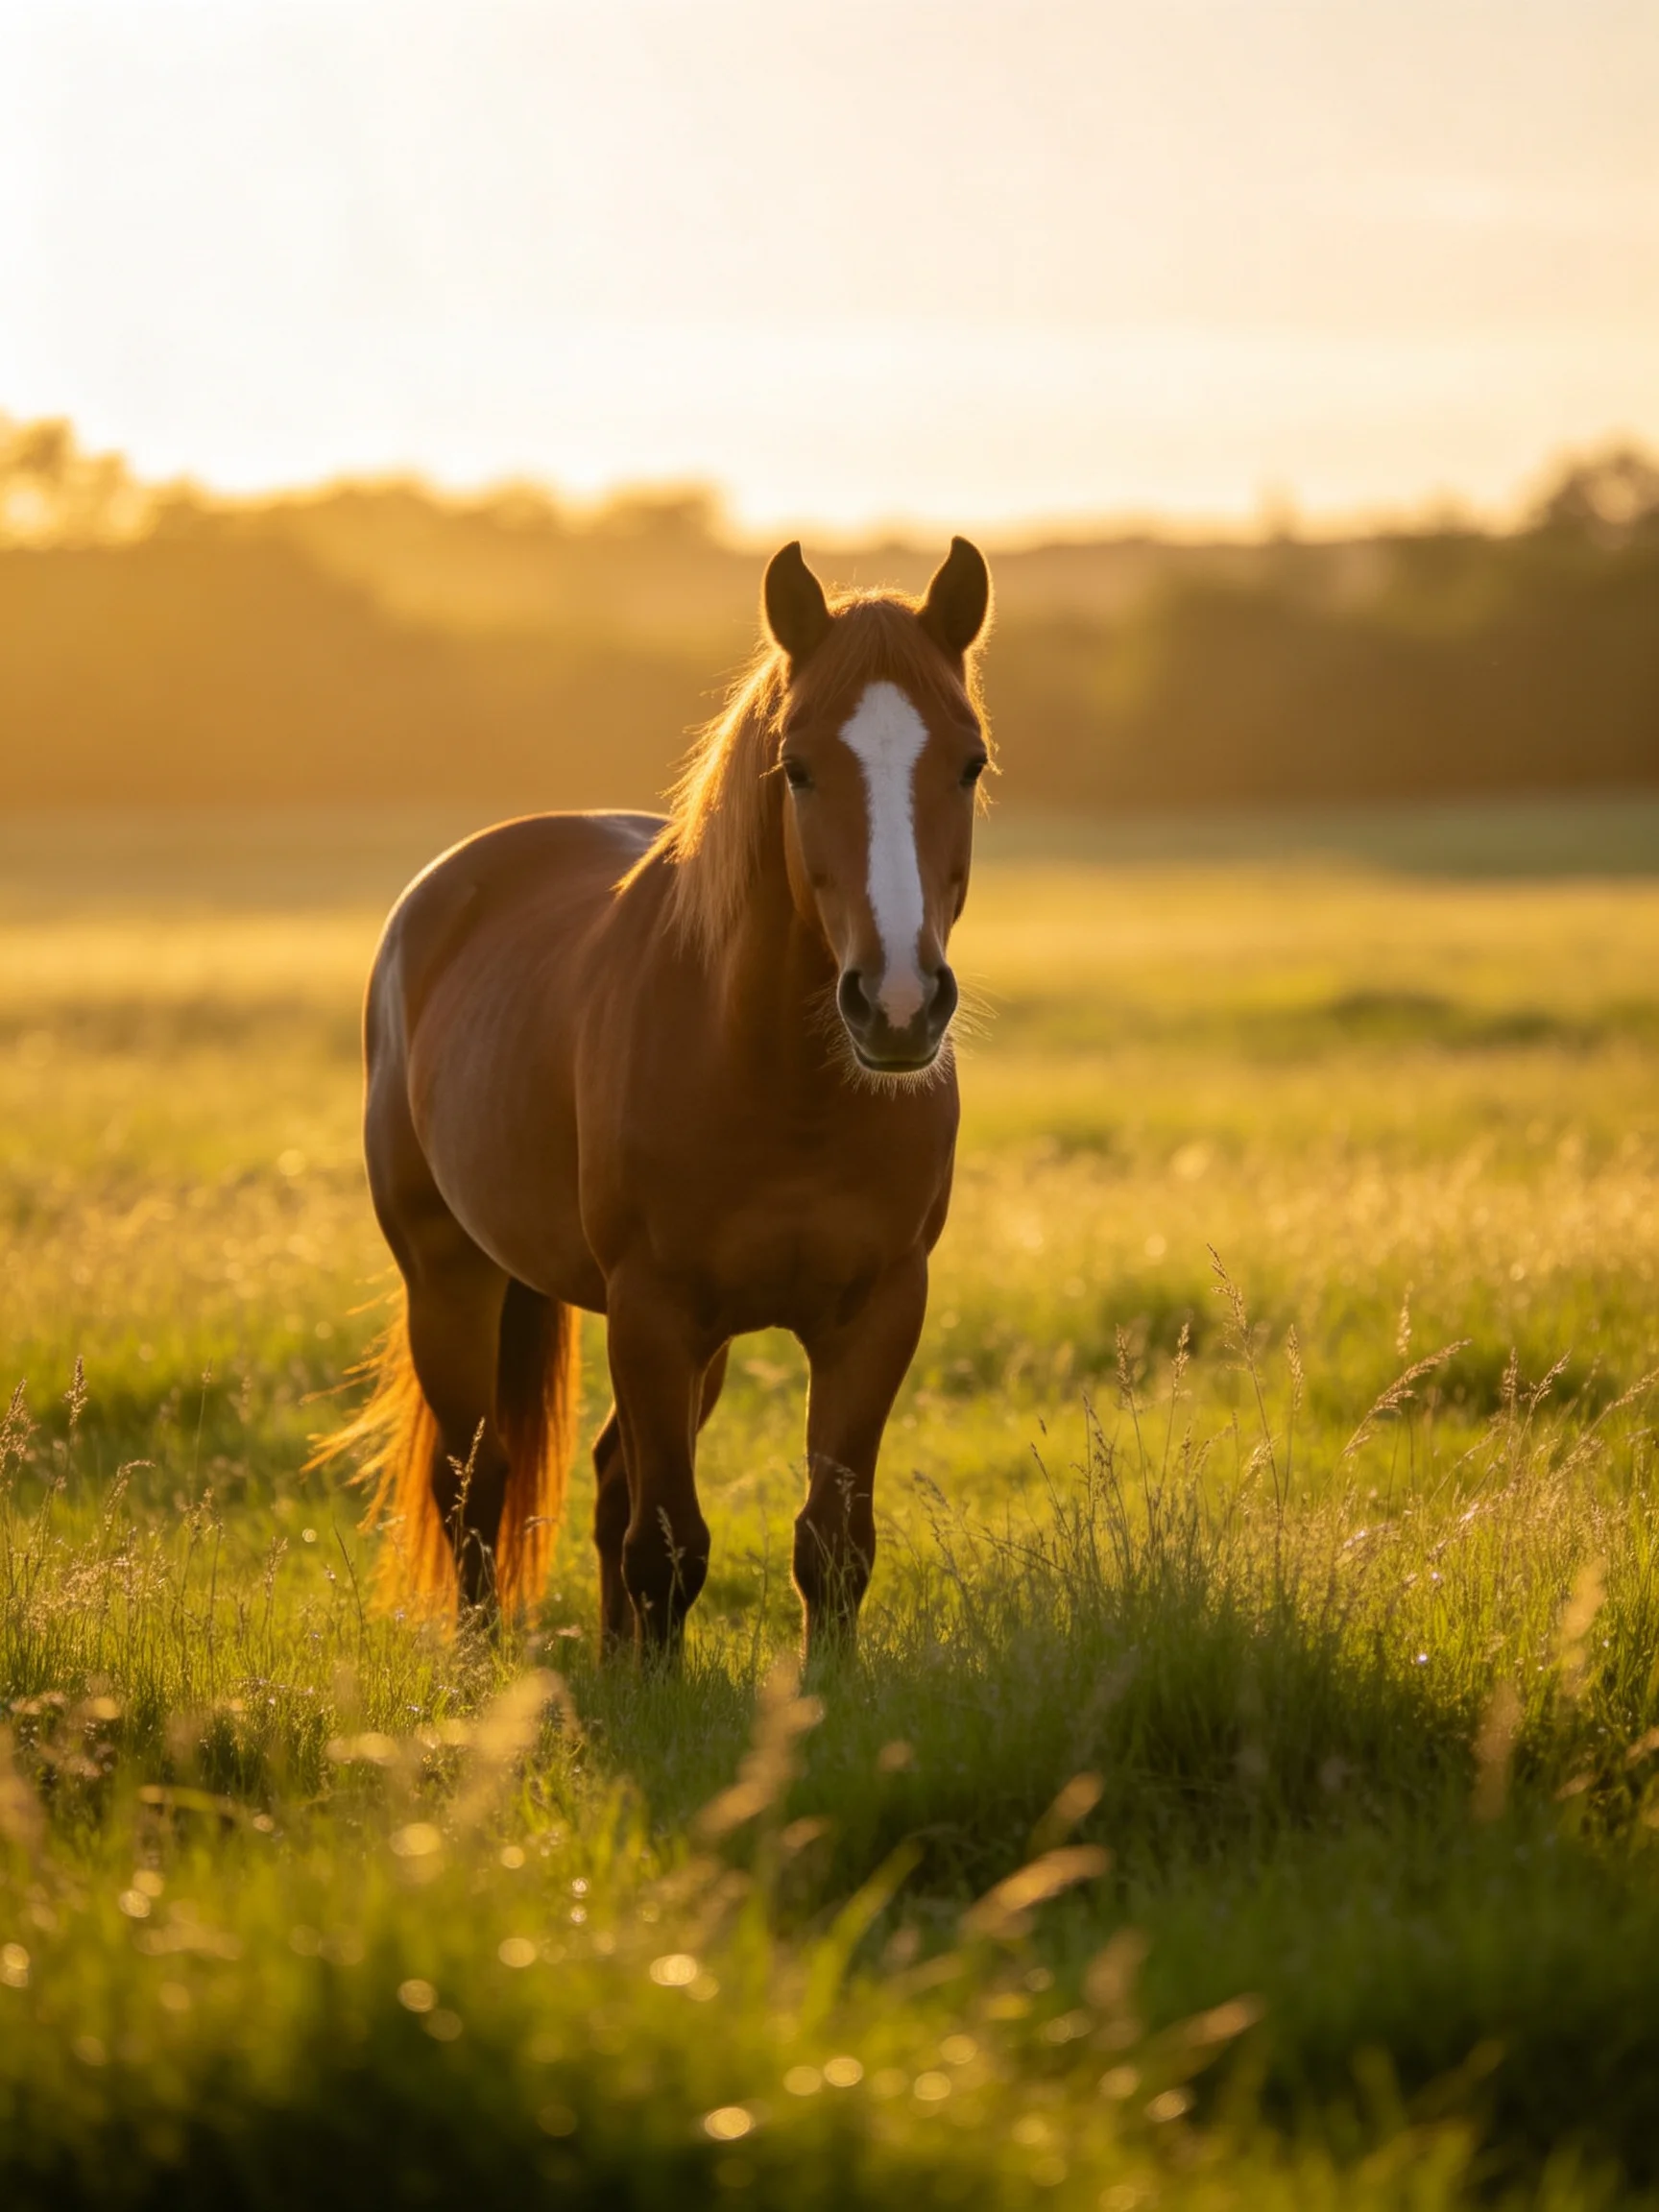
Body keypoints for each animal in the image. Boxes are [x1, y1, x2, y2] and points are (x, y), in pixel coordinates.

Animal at [330, 535, 993, 1659]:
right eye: (797, 767)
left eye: (969, 761)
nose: (899, 1003)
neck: (782, 1087)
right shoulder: (651, 1309)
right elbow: (667, 1546)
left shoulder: (877, 1312)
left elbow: (832, 1541)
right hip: (449, 1273)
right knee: (476, 1481)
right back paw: (478, 1661)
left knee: (600, 1477)